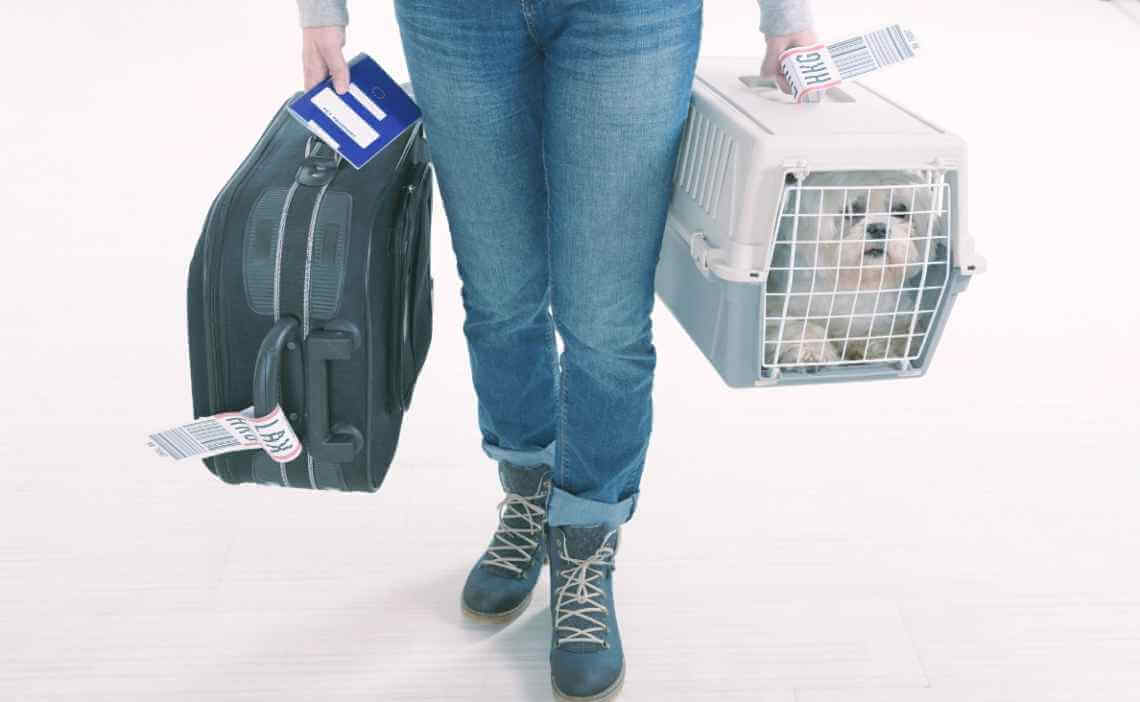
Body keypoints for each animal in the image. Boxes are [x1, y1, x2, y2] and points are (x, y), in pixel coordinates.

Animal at [766, 170, 943, 369]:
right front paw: (811, 353)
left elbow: (884, 333)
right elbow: (798, 326)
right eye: (850, 210)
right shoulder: (777, 307)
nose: (878, 228)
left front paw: (872, 351)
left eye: (900, 210)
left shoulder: (892, 317)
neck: (853, 280)